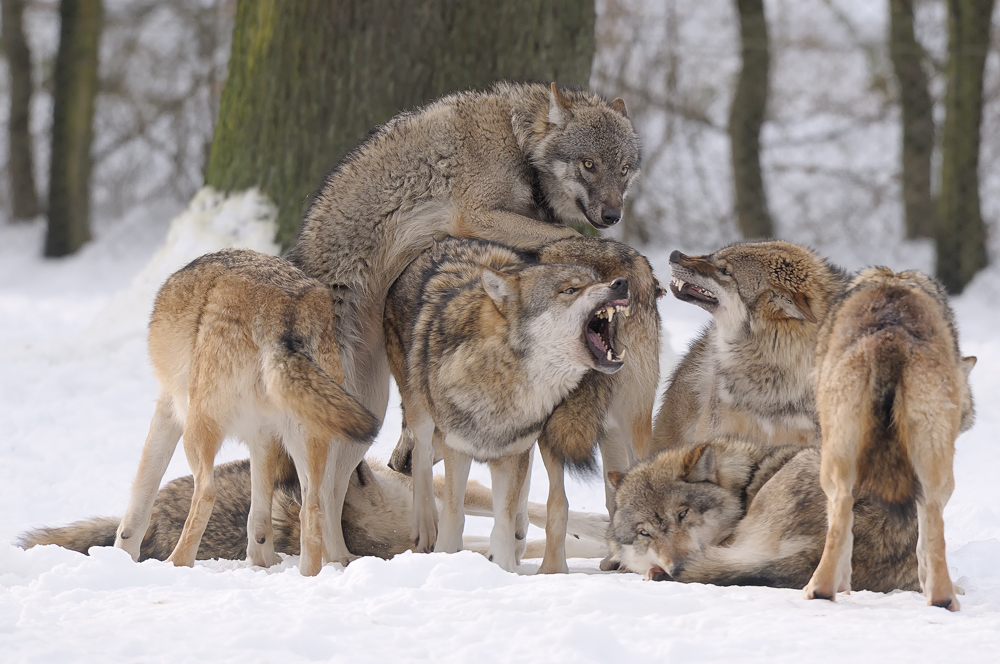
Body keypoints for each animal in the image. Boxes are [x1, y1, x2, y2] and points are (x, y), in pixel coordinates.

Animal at [112, 249, 378, 576]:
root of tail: (286, 312)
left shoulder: (169, 409)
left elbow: (142, 493)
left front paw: (121, 554)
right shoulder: (263, 436)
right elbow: (260, 519)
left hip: (198, 430)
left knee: (206, 493)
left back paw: (176, 564)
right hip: (307, 439)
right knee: (313, 506)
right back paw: (306, 575)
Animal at [282, 79, 640, 456]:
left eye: (624, 169)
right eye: (589, 164)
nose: (613, 216)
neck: (518, 143)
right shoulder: (475, 216)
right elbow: (567, 234)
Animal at [804, 268, 976, 608]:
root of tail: (890, 337)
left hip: (836, 466)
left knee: (843, 512)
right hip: (931, 471)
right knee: (928, 521)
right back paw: (941, 598)